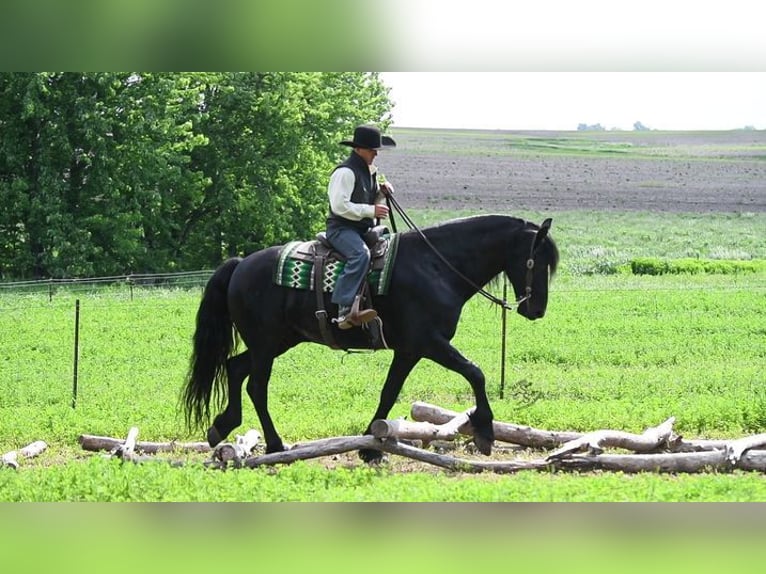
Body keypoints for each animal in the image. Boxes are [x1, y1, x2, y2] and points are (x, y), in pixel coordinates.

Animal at [183, 216, 560, 464]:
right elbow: (475, 372)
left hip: (278, 341)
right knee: (256, 386)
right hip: (265, 343)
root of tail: (240, 264)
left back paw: (222, 426)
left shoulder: (408, 351)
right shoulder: (429, 343)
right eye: (536, 260)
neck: (436, 267)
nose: (538, 309)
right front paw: (484, 431)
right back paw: (275, 446)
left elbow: (389, 392)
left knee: (234, 368)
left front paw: (370, 447)